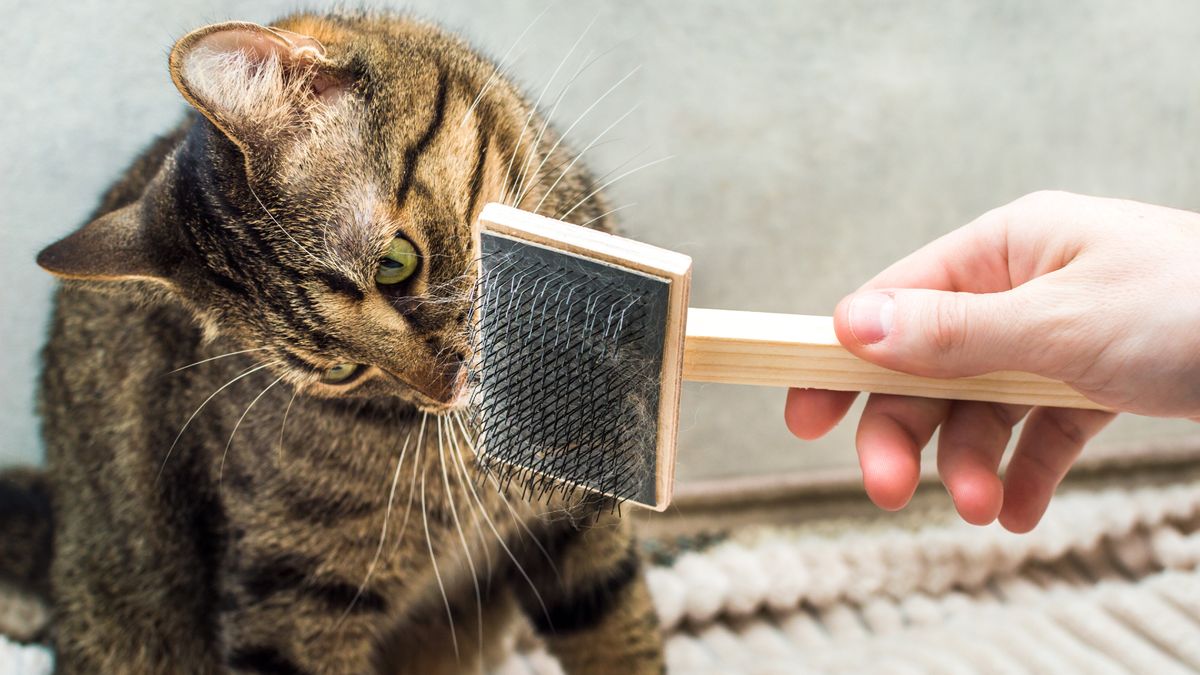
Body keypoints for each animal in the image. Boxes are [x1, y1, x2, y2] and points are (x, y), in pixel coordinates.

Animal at [0, 11, 662, 672]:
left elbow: (620, 635)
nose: (445, 390)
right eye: (338, 372)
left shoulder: (579, 514)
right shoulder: (288, 592)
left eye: (395, 263)